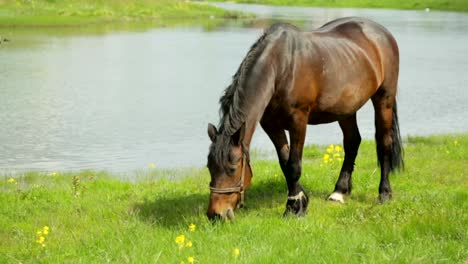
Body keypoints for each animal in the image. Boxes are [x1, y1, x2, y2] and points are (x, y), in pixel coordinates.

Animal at [207, 17, 404, 221]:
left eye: (232, 168)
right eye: (209, 168)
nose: (216, 214)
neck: (280, 67)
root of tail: (382, 32)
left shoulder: (298, 121)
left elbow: (294, 165)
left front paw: (294, 207)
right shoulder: (271, 124)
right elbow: (284, 163)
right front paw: (301, 200)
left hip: (384, 99)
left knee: (384, 143)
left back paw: (384, 193)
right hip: (346, 109)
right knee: (352, 142)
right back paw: (339, 192)